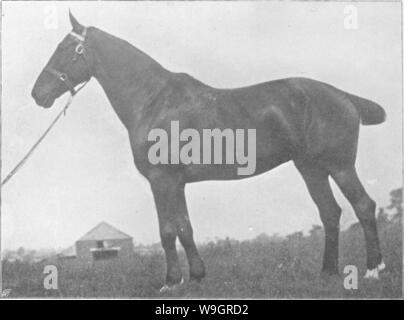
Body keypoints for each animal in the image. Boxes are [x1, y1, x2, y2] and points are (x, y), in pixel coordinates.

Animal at [31, 12, 386, 288]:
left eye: (64, 49)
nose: (37, 94)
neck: (153, 100)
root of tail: (344, 96)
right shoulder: (175, 183)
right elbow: (185, 228)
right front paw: (198, 277)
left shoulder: (161, 180)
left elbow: (168, 231)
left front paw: (171, 282)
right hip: (310, 168)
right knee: (330, 212)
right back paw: (327, 272)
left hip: (339, 166)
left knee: (363, 206)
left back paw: (373, 270)